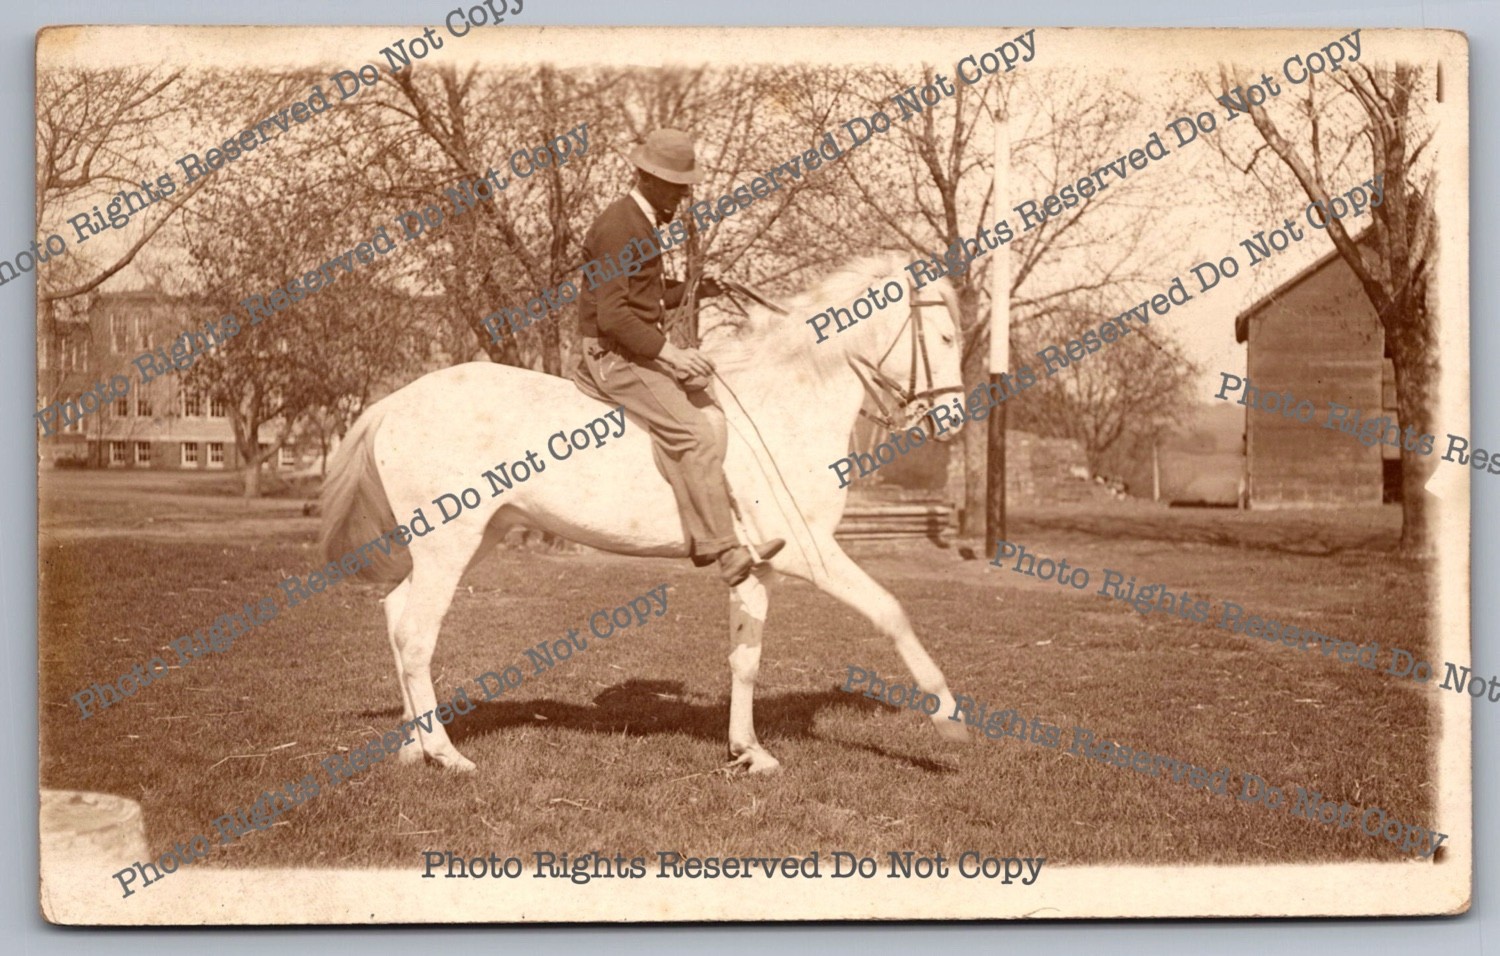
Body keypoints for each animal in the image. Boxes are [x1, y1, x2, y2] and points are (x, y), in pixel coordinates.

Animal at [319, 251, 972, 774]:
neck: (784, 405)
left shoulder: (757, 566)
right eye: (944, 340)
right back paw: (447, 755)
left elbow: (746, 658)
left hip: (474, 539)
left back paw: (414, 748)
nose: (954, 420)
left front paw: (748, 752)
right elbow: (891, 613)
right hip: (448, 545)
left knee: (397, 616)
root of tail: (397, 401)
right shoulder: (813, 555)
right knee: (415, 634)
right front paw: (949, 718)